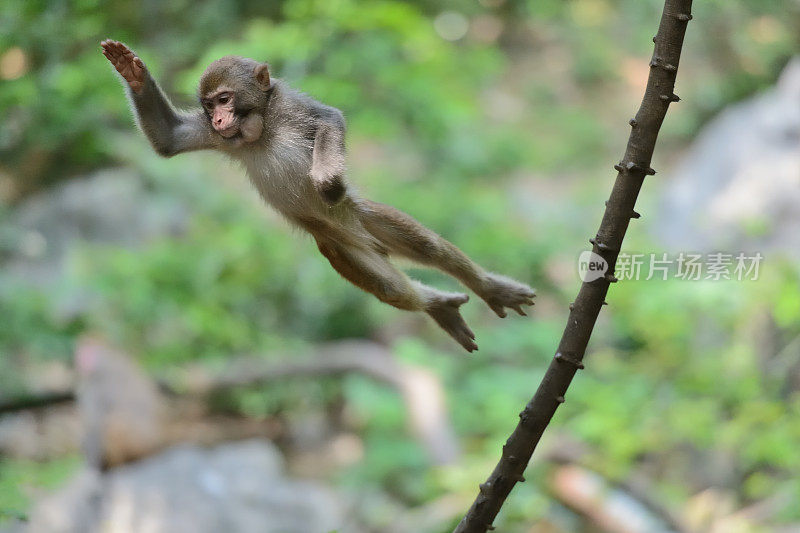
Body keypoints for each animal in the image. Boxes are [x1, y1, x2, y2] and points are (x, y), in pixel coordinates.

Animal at [101, 39, 536, 352]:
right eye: (209, 106)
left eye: (225, 98)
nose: (220, 118)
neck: (260, 127)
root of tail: (365, 237)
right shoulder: (219, 137)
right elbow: (169, 140)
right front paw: (133, 73)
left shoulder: (291, 109)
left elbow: (330, 119)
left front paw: (326, 175)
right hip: (340, 244)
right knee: (390, 287)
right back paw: (437, 306)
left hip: (360, 214)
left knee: (427, 246)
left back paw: (487, 286)